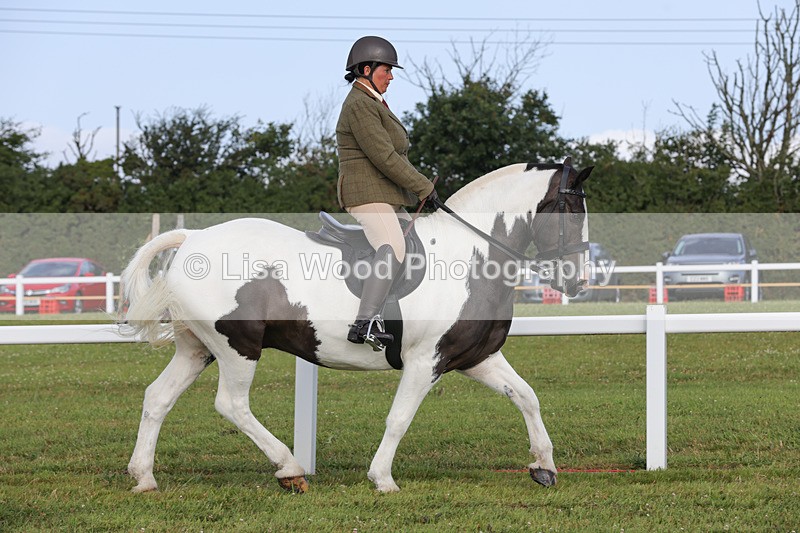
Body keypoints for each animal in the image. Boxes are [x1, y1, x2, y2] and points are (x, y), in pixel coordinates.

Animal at [121, 159, 592, 493]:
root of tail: (193, 239)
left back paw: (144, 477)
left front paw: (544, 466)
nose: (577, 283)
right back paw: (289, 469)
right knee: (232, 405)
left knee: (157, 397)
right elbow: (399, 418)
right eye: (571, 211)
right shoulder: (426, 361)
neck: (471, 255)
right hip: (239, 347)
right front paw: (382, 478)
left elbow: (527, 397)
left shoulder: (477, 357)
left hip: (197, 349)